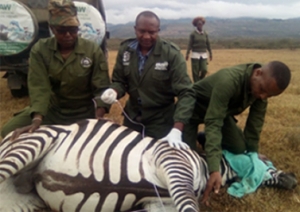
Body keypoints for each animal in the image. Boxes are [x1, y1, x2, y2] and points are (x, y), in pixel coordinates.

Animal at [0, 118, 296, 211]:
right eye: (267, 162)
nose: (294, 179)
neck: (203, 165)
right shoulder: (172, 161)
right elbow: (190, 205)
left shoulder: (157, 205)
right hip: (37, 141)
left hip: (28, 202)